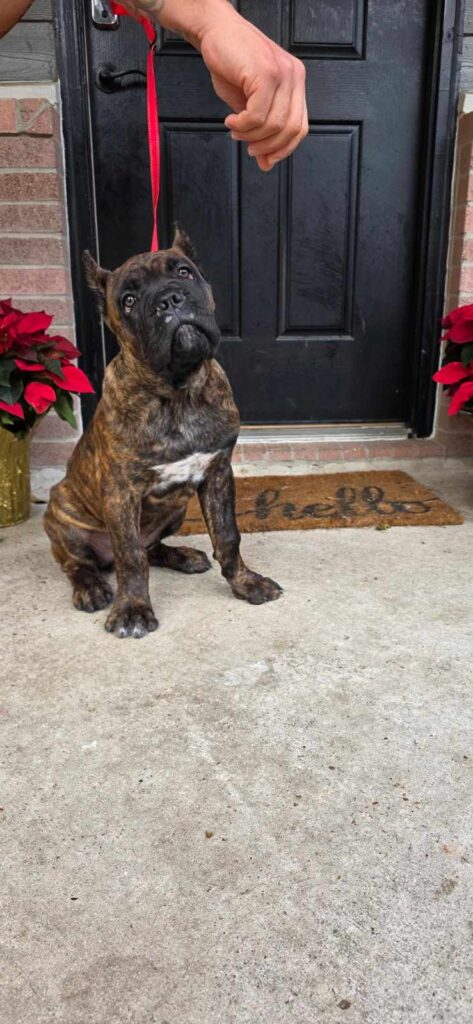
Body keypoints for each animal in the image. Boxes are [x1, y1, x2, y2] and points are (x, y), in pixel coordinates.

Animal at [44, 227, 282, 638]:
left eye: (184, 273)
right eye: (128, 300)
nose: (170, 300)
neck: (177, 392)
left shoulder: (218, 473)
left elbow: (228, 535)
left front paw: (245, 582)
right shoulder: (120, 492)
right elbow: (129, 557)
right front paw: (132, 609)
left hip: (176, 508)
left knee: (151, 547)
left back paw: (183, 556)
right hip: (61, 512)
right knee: (82, 562)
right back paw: (91, 587)